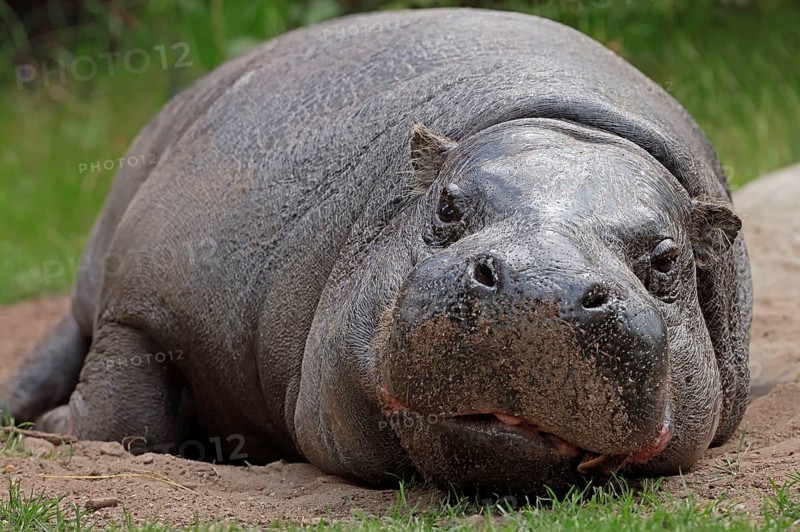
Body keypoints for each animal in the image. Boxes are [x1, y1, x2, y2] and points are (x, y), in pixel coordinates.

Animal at [1, 8, 751, 494]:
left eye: (667, 260)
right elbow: (126, 411)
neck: (576, 129)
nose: (541, 286)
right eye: (446, 207)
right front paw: (56, 428)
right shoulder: (142, 303)